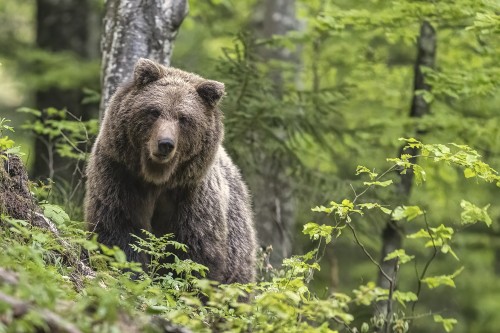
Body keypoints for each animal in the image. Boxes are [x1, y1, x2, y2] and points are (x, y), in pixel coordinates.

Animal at [84, 57, 256, 282]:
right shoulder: (119, 176)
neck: (157, 178)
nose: (165, 144)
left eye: (183, 118)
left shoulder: (190, 194)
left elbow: (194, 252)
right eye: (154, 111)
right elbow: (118, 230)